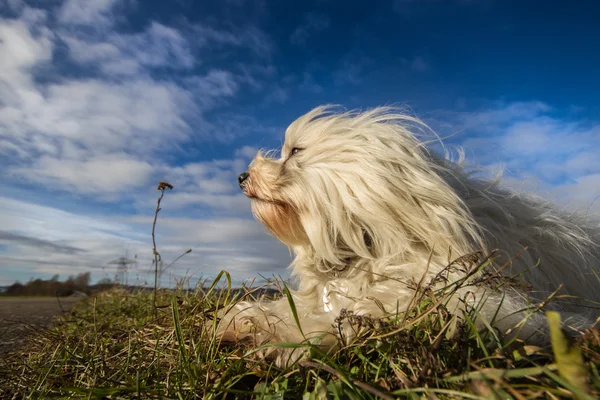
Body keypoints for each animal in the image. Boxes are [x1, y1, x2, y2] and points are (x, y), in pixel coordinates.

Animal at [217, 105, 600, 366]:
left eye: (296, 151)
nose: (241, 176)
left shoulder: (479, 299)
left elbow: (365, 310)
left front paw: (287, 337)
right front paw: (243, 319)